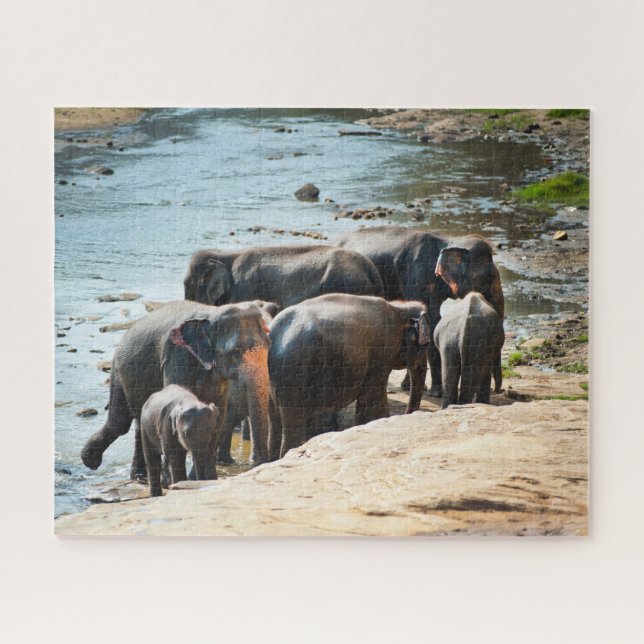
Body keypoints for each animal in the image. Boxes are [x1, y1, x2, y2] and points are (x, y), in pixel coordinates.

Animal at [80, 300, 271, 478]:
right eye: (235, 351)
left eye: (268, 345)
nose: (255, 462)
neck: (211, 313)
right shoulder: (176, 356)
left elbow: (219, 413)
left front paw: (204, 478)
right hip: (119, 373)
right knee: (119, 423)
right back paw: (90, 461)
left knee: (137, 423)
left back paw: (139, 476)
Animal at [268, 294, 431, 459]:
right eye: (426, 345)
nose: (407, 414)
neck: (398, 308)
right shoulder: (381, 354)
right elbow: (374, 398)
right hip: (292, 377)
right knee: (292, 424)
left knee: (274, 423)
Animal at [335, 225, 504, 395]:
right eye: (489, 277)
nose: (497, 390)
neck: (450, 241)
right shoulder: (418, 275)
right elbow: (431, 318)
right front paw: (436, 392)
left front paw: (413, 386)